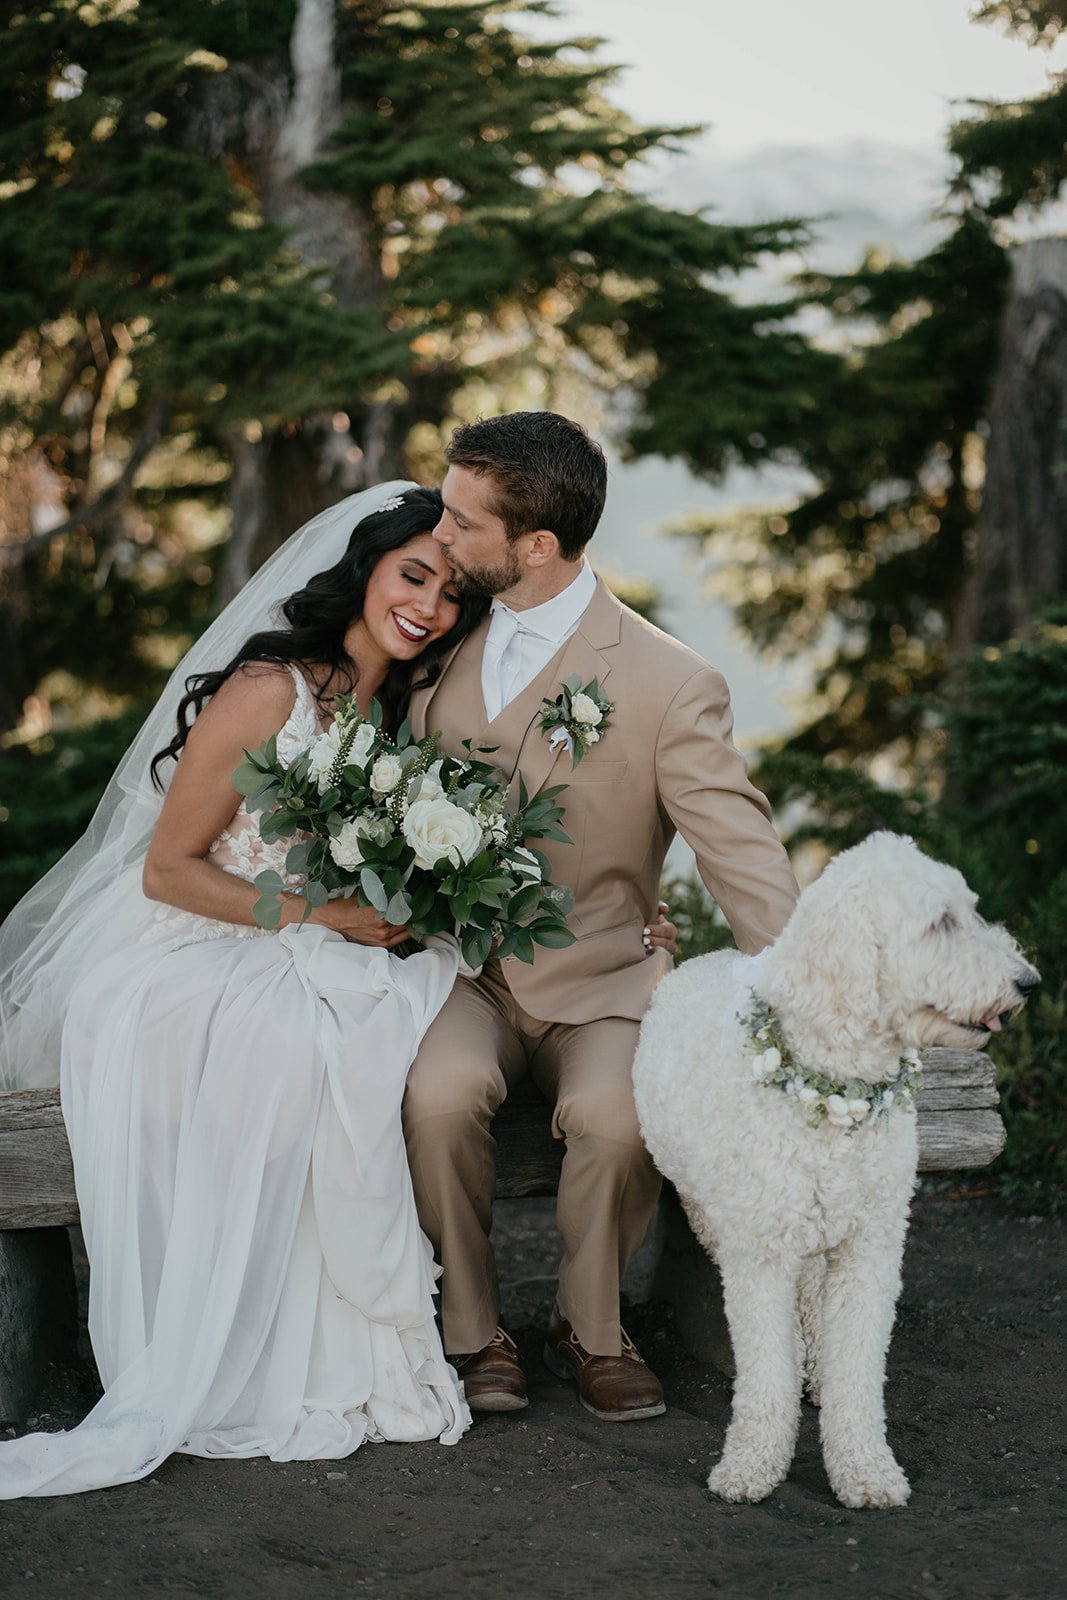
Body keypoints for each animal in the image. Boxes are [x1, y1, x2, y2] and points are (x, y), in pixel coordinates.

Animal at [639, 838, 1036, 1510]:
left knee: (813, 1297)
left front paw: (865, 1469)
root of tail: (701, 958)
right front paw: (752, 1465)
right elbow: (765, 1371)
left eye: (971, 911)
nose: (1027, 981)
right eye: (940, 923)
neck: (832, 1090)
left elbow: (858, 1370)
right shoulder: (759, 1256)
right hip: (713, 1214)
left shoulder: (869, 1250)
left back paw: (817, 1368)